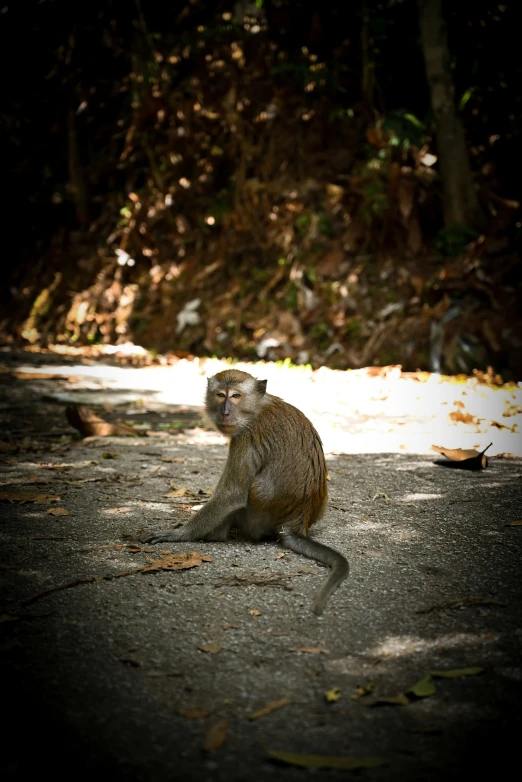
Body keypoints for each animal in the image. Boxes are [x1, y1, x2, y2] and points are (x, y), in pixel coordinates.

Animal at [142, 370, 348, 616]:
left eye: (236, 396)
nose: (225, 411)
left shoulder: (245, 437)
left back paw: (215, 535)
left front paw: (179, 534)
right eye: (220, 395)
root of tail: (295, 523)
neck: (257, 407)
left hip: (256, 520)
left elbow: (232, 495)